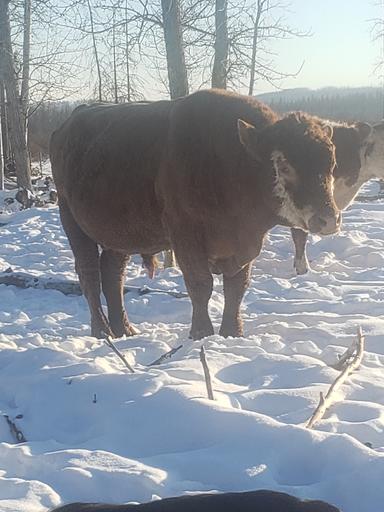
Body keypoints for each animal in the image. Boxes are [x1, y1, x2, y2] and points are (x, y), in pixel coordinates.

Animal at [50, 90, 340, 342]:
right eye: (284, 164)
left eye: (332, 164)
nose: (329, 219)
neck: (232, 163)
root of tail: (66, 126)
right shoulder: (185, 236)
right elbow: (201, 285)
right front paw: (201, 334)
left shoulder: (246, 242)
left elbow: (236, 289)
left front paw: (232, 333)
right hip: (72, 221)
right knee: (89, 274)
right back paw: (103, 332)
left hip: (120, 236)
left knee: (113, 274)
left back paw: (125, 330)